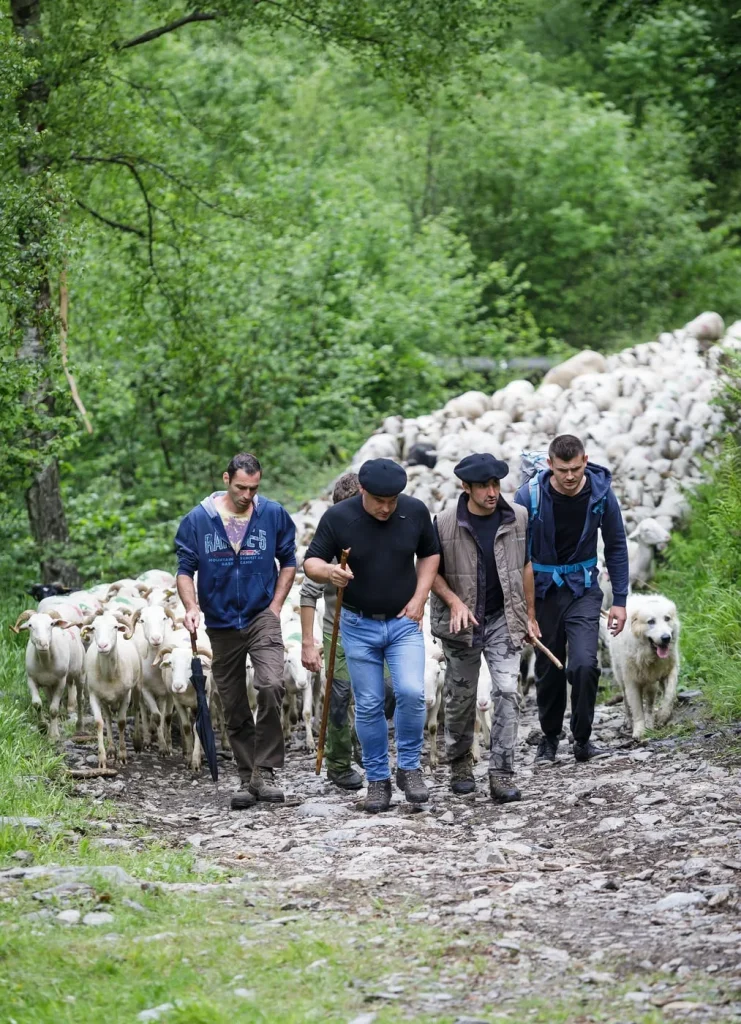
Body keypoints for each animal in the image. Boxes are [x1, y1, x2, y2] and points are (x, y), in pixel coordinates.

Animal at [83, 610, 142, 765]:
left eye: (115, 627)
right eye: (93, 628)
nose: (103, 646)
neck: (109, 675)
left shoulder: (126, 695)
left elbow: (121, 722)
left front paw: (122, 755)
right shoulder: (94, 696)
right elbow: (99, 723)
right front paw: (102, 758)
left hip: (137, 687)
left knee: (137, 709)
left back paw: (137, 741)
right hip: (104, 700)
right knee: (108, 719)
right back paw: (110, 749)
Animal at [609, 598, 679, 741]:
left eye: (667, 618)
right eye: (651, 621)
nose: (666, 638)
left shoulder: (669, 671)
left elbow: (669, 695)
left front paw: (662, 716)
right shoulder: (632, 682)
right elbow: (637, 709)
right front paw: (639, 731)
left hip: (651, 683)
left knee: (650, 705)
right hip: (622, 678)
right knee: (626, 702)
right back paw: (629, 723)